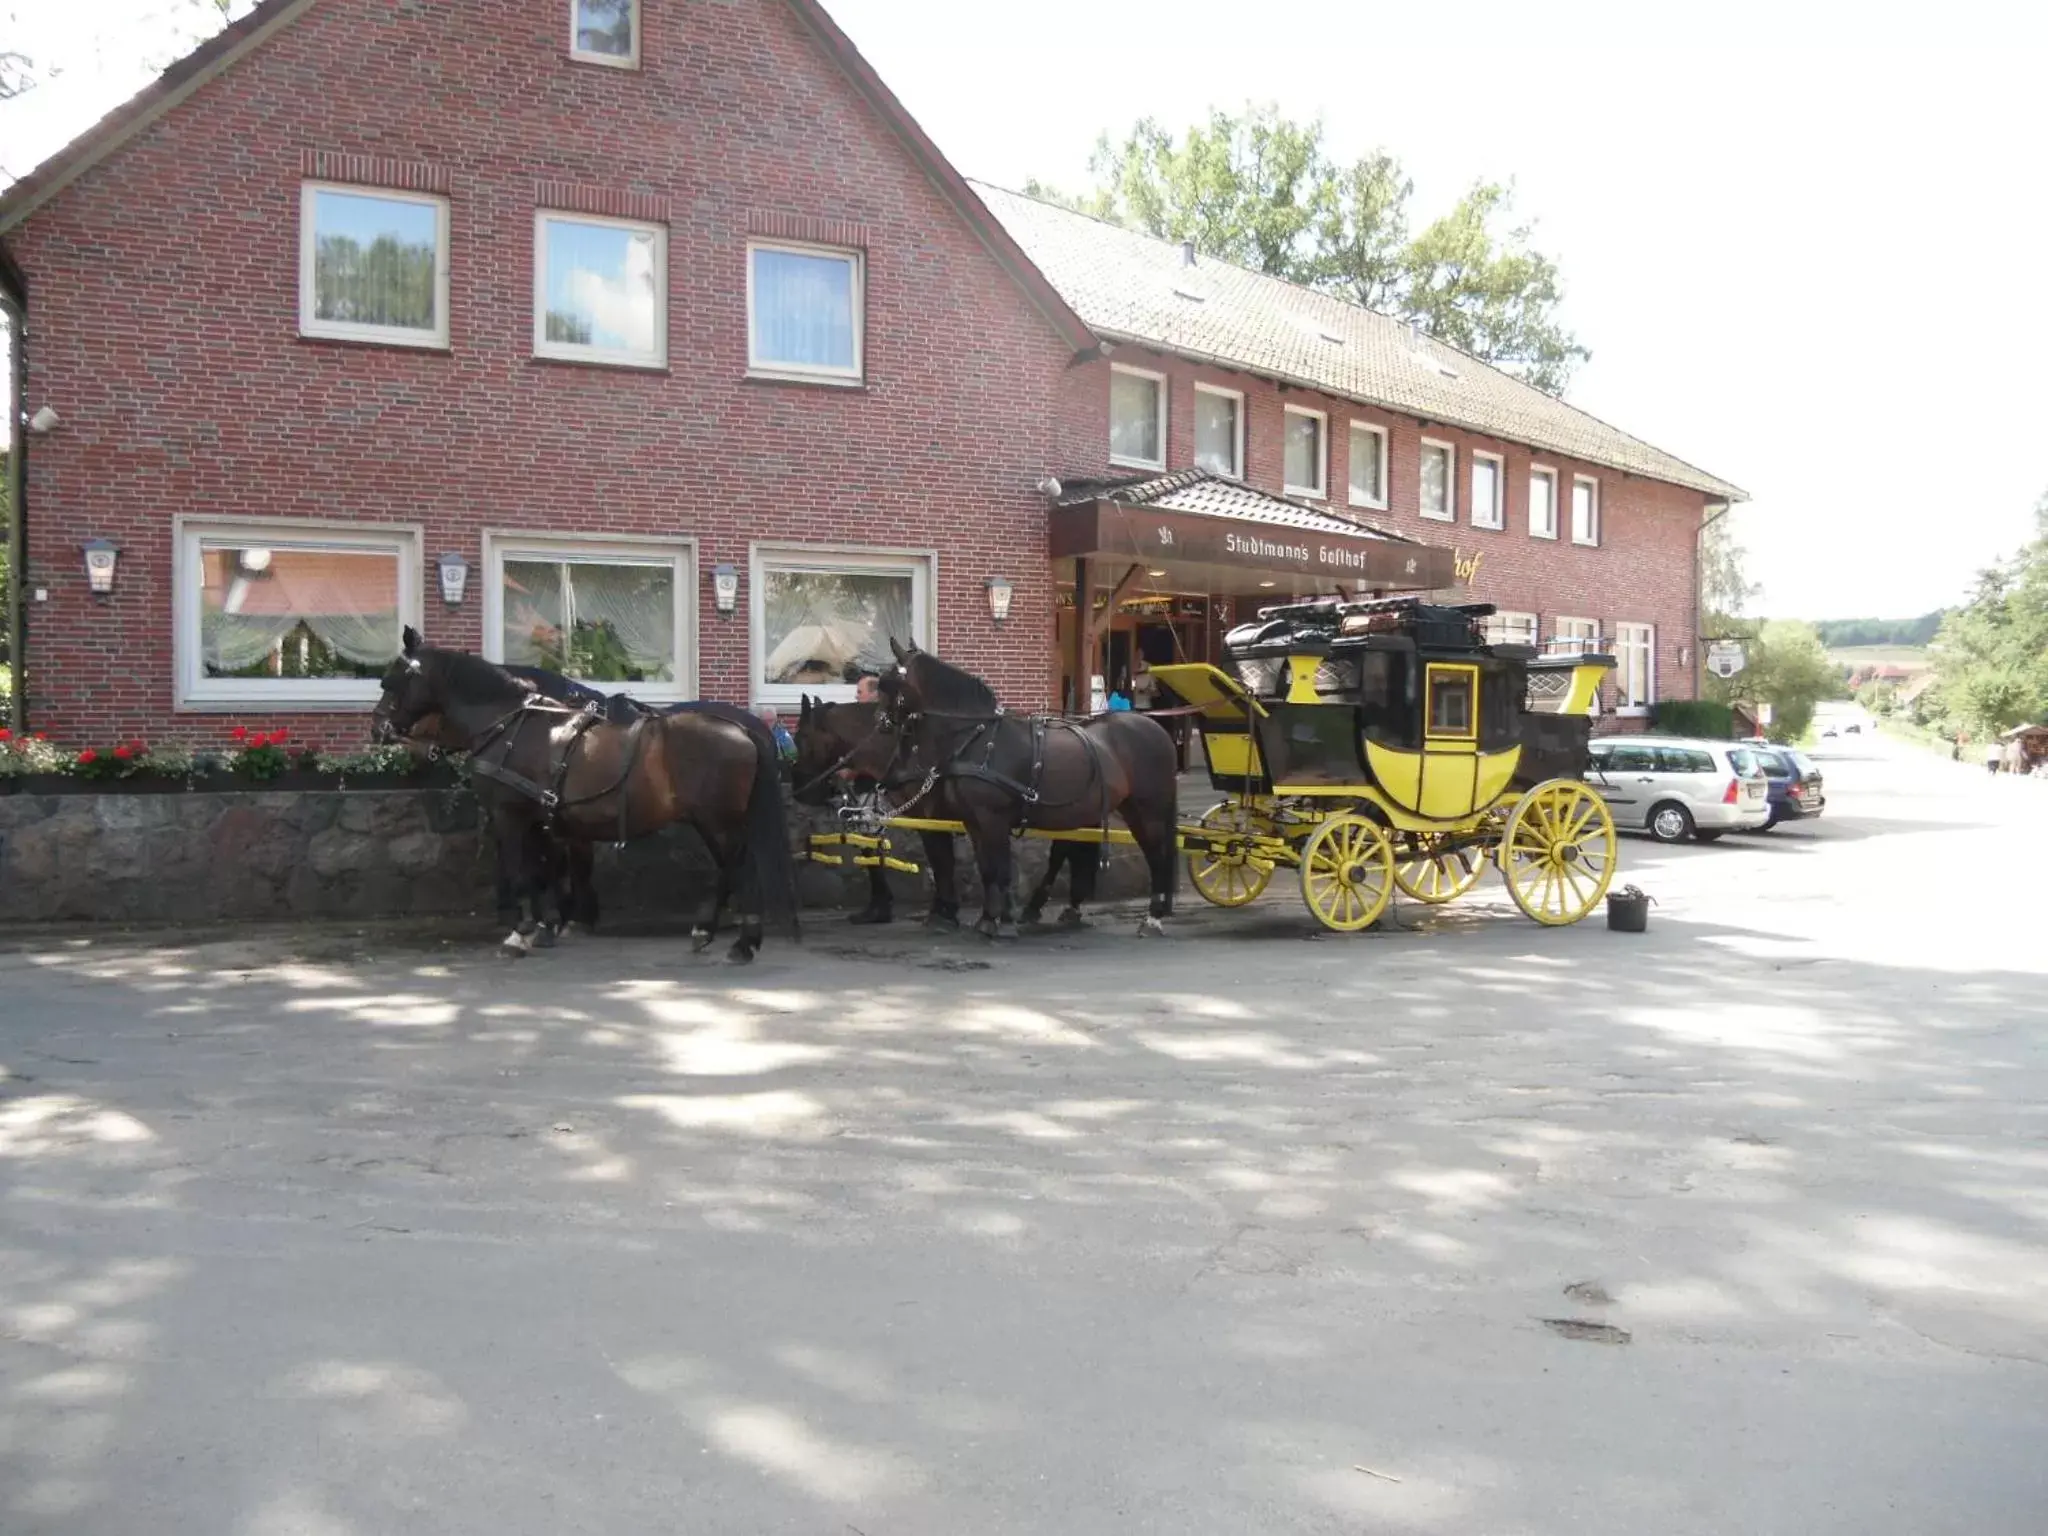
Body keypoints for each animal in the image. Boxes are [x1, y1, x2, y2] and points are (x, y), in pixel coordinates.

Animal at [376, 626, 798, 962]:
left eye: (391, 681)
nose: (380, 729)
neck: (512, 724)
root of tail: (743, 728)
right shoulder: (541, 820)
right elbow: (542, 871)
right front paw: (546, 926)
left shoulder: (510, 814)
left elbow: (521, 871)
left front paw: (520, 932)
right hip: (711, 820)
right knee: (731, 868)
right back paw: (712, 933)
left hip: (718, 820)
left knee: (738, 868)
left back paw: (741, 942)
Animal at [872, 638, 1179, 937]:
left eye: (890, 683)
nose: (880, 723)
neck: (977, 737)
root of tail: (1158, 730)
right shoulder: (974, 821)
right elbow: (986, 870)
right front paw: (987, 918)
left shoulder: (992, 818)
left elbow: (1000, 870)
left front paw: (1001, 923)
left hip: (1147, 811)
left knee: (1157, 857)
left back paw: (1152, 918)